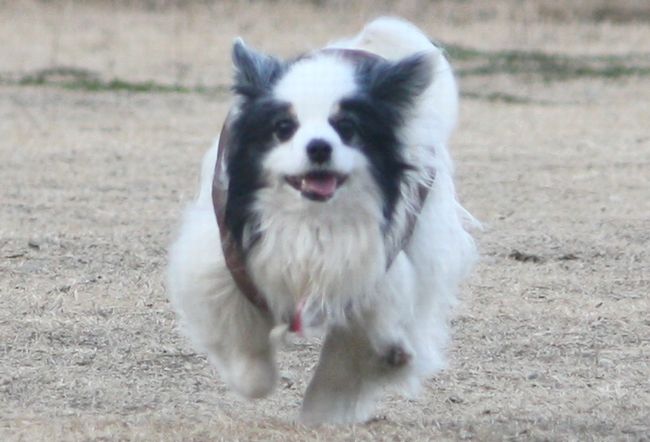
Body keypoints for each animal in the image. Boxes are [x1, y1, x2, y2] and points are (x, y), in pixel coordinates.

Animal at [168, 17, 477, 424]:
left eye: (346, 127)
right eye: (284, 127)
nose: (319, 147)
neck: (311, 220)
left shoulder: (372, 284)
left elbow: (347, 358)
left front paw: (322, 410)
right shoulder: (223, 265)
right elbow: (243, 346)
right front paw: (257, 378)